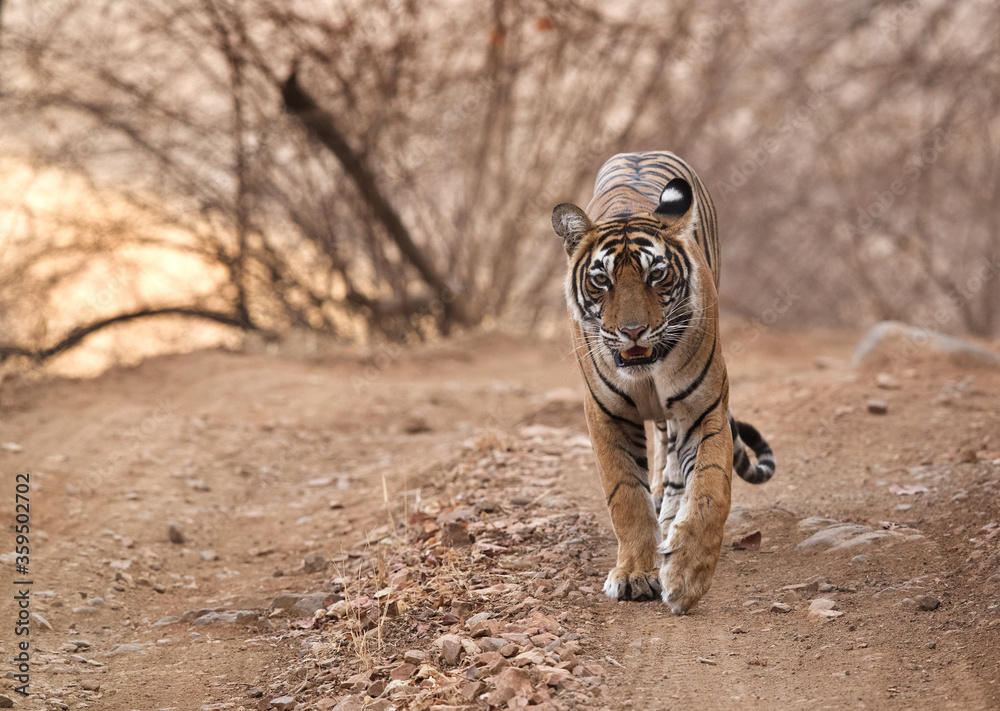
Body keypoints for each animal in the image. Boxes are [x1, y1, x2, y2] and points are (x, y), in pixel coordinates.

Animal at [551, 151, 775, 614]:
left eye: (656, 275)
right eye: (601, 280)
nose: (633, 331)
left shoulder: (704, 409)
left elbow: (710, 490)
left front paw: (687, 575)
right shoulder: (606, 414)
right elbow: (626, 495)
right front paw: (636, 573)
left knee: (674, 468)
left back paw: (671, 521)